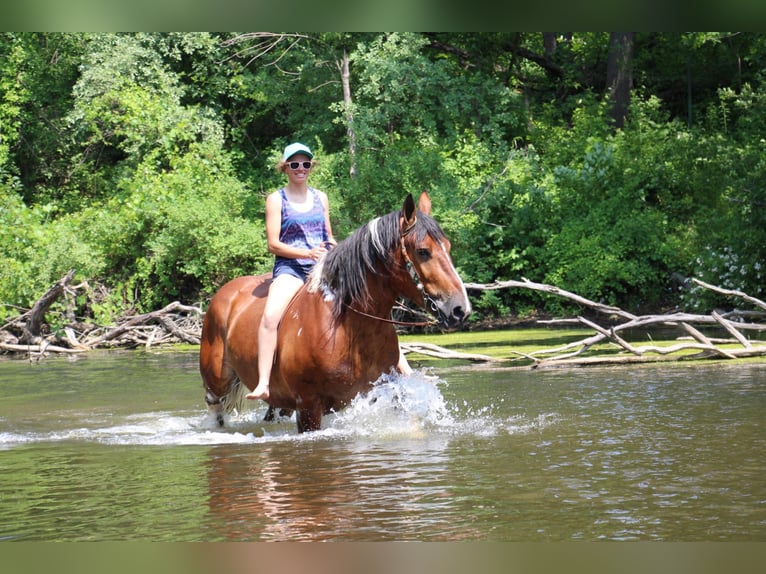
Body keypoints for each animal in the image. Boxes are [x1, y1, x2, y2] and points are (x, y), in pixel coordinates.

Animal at [198, 191, 472, 434]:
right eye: (423, 251)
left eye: (448, 247)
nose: (460, 309)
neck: (348, 326)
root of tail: (225, 293)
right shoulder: (308, 406)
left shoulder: (381, 390)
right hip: (216, 387)